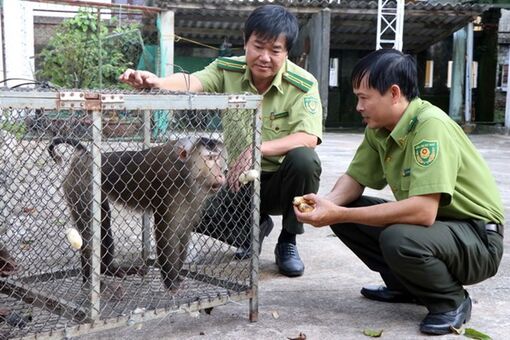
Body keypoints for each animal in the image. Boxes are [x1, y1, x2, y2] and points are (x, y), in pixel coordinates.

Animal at [48, 137, 226, 290]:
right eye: (210, 158)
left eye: (218, 158)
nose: (221, 174)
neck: (186, 170)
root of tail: (85, 157)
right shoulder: (170, 185)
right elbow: (167, 231)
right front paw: (171, 281)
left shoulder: (195, 197)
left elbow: (183, 229)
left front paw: (177, 277)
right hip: (81, 186)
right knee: (91, 231)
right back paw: (90, 282)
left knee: (104, 222)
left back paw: (108, 270)